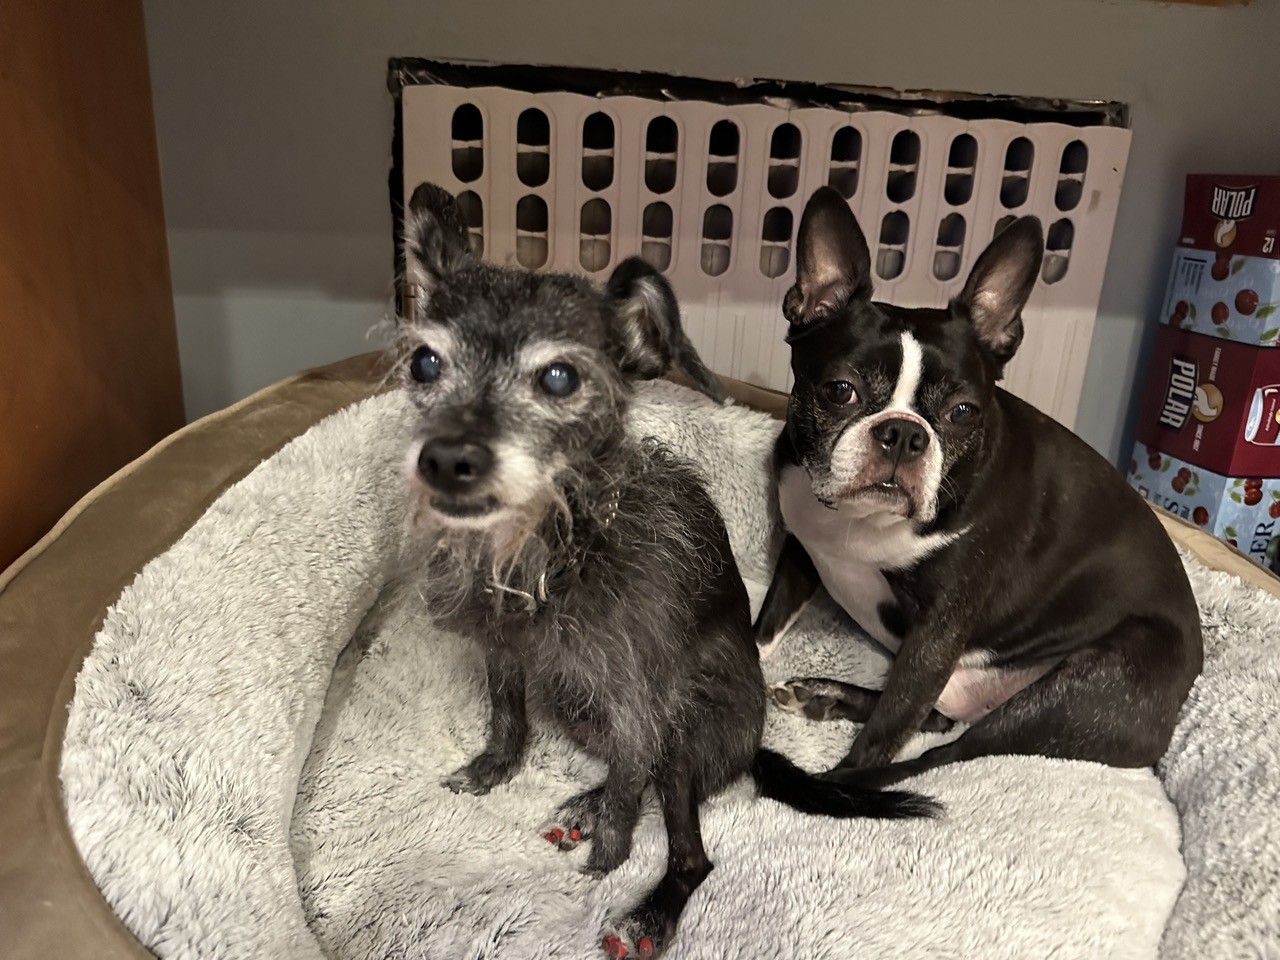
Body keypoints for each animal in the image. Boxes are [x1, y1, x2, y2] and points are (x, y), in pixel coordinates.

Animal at [396, 183, 938, 959]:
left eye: (559, 376)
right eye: (424, 364)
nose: (444, 459)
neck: (555, 548)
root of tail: (749, 745)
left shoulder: (637, 697)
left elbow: (630, 784)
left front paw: (610, 854)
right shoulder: (505, 649)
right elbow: (508, 714)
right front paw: (495, 768)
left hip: (684, 733)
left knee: (686, 841)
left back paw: (645, 906)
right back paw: (586, 804)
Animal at [755, 186, 1204, 788]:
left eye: (963, 412)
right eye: (840, 390)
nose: (904, 435)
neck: (863, 521)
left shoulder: (938, 631)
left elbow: (888, 728)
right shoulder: (803, 547)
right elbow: (766, 626)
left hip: (1081, 689)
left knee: (937, 751)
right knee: (935, 717)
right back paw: (824, 696)